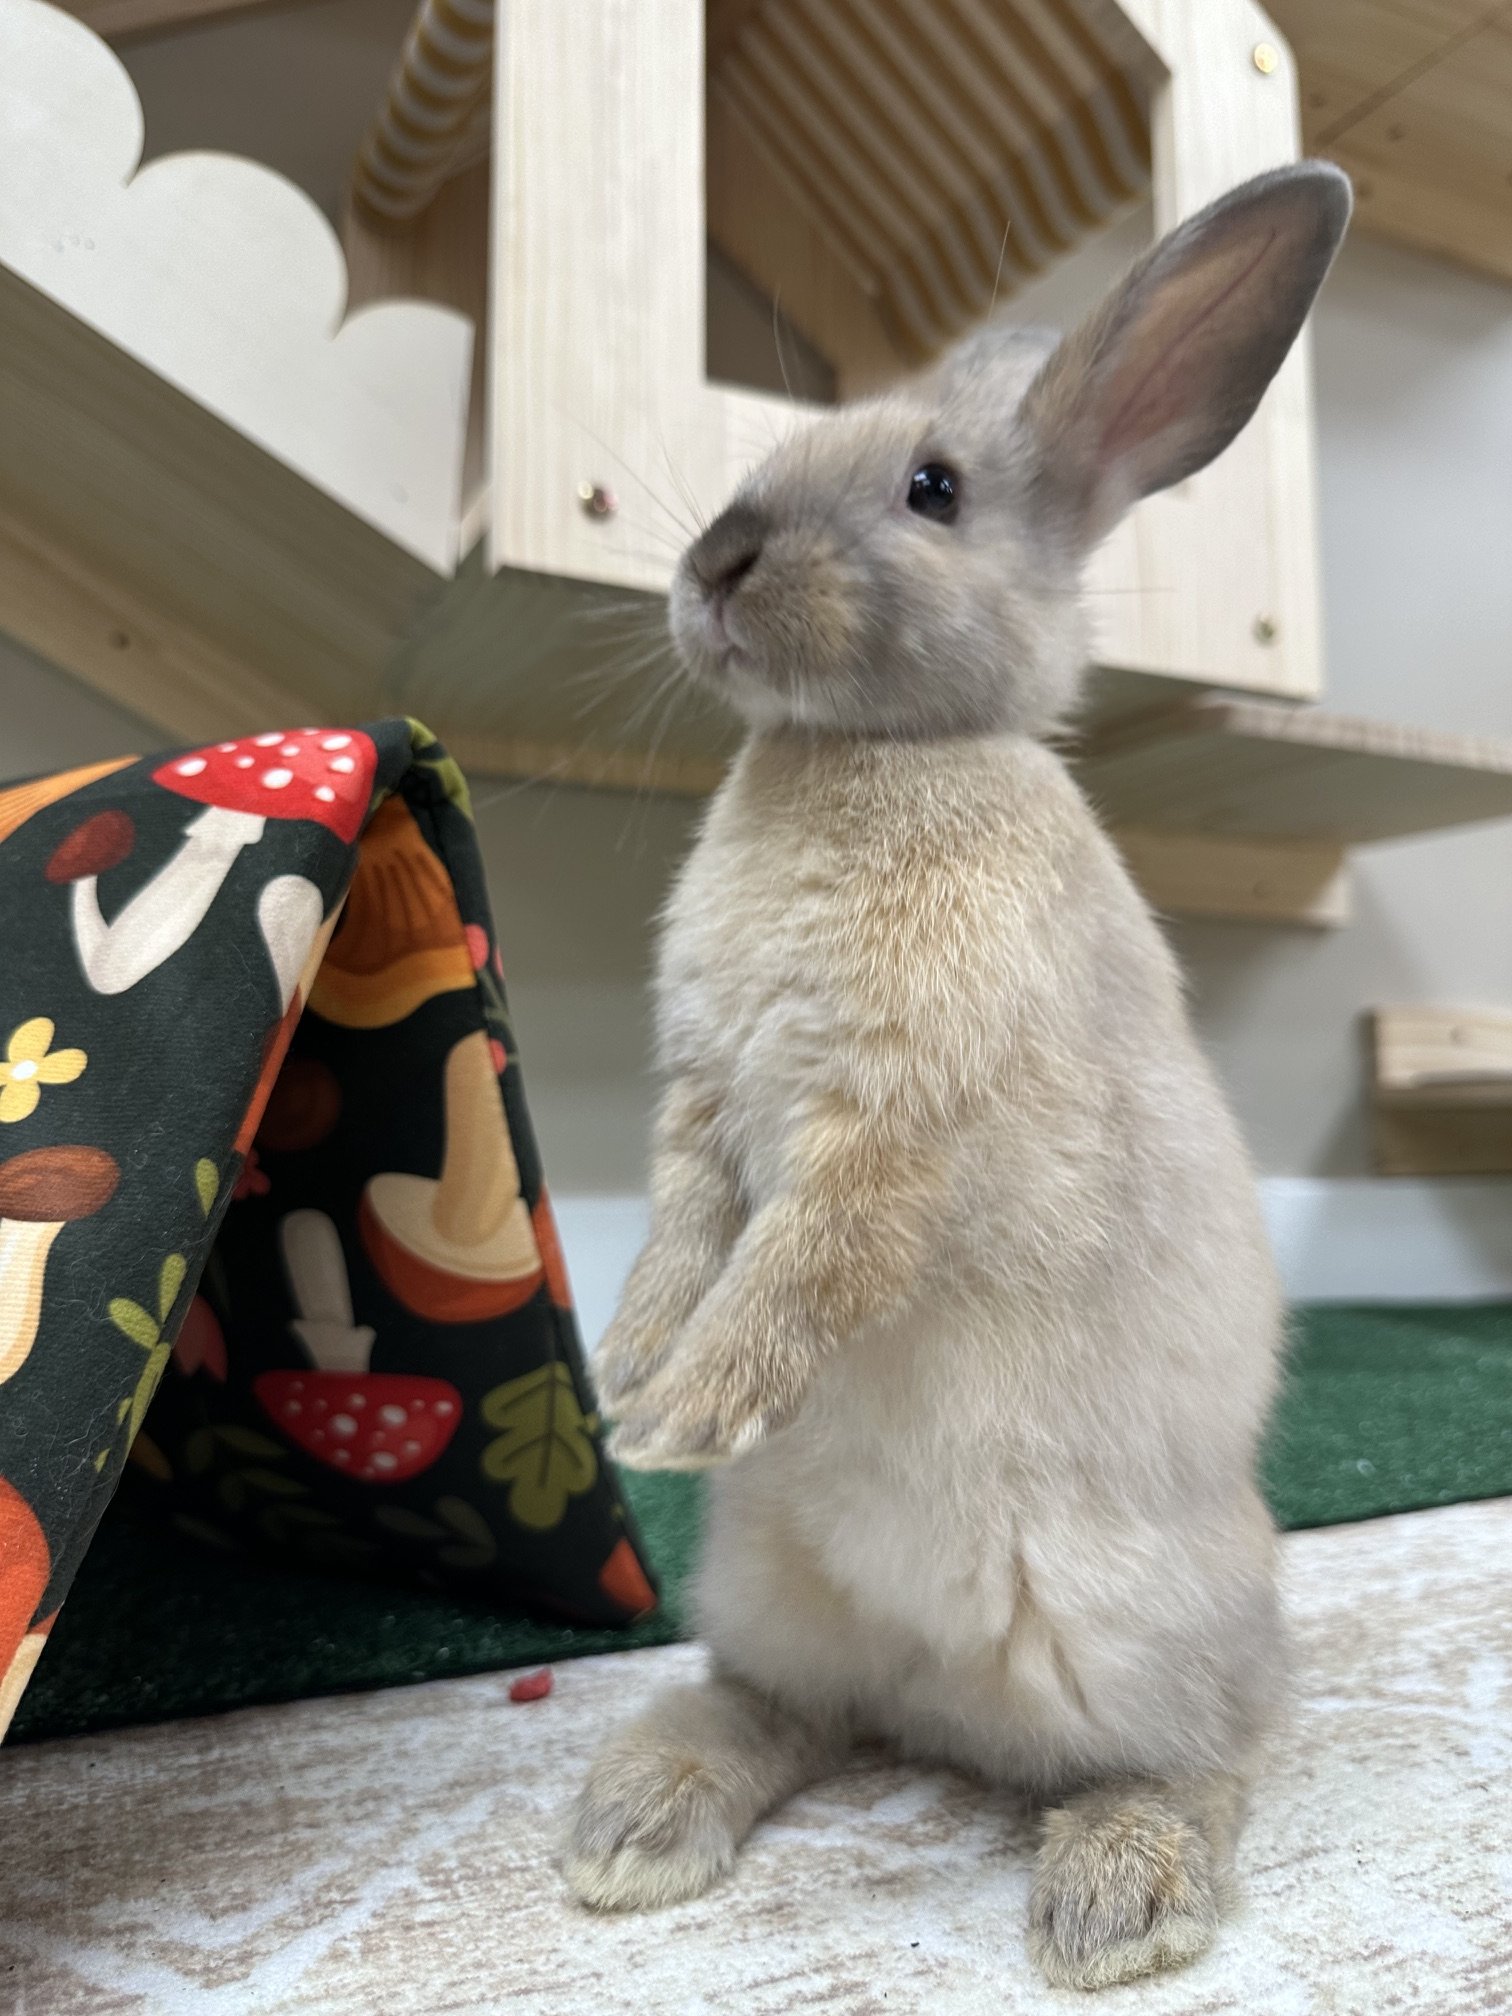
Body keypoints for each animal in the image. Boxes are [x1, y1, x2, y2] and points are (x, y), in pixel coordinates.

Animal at [566, 163, 1352, 1990]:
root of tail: (943, 1713)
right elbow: (683, 1233)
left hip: (1136, 1629)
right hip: (767, 1594)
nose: (714, 560)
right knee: (791, 1710)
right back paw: (637, 1821)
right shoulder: (701, 1110)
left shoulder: (891, 1133)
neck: (868, 753)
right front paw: (634, 1369)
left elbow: (801, 1261)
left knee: (1214, 1756)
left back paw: (1113, 1896)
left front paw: (690, 1407)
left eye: (931, 490)